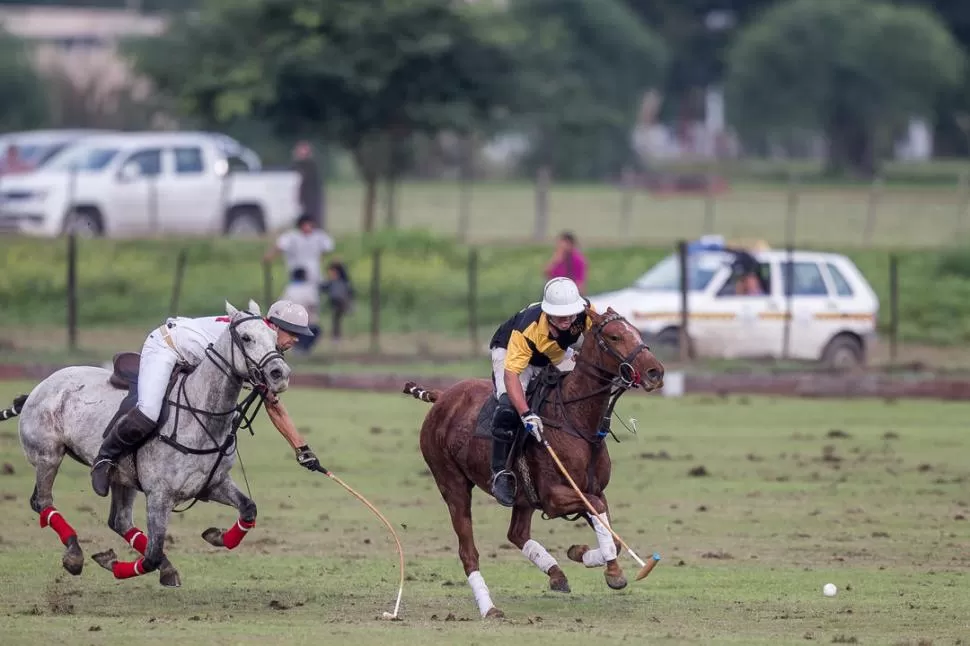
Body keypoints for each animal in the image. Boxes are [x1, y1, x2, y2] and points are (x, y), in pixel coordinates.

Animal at [4, 302, 292, 588]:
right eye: (246, 338)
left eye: (275, 339)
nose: (280, 374)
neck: (201, 417)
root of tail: (39, 387)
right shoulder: (159, 495)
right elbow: (152, 555)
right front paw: (113, 564)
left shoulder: (214, 484)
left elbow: (248, 509)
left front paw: (216, 536)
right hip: (48, 454)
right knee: (42, 501)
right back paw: (75, 553)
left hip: (121, 477)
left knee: (119, 521)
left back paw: (163, 566)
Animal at [402, 306, 664, 620]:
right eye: (614, 336)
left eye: (636, 331)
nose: (655, 372)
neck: (576, 420)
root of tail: (442, 397)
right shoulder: (554, 496)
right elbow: (599, 513)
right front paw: (610, 571)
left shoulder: (591, 490)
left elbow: (609, 530)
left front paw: (583, 554)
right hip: (451, 483)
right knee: (468, 551)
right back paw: (489, 608)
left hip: (523, 496)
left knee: (516, 533)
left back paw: (556, 574)